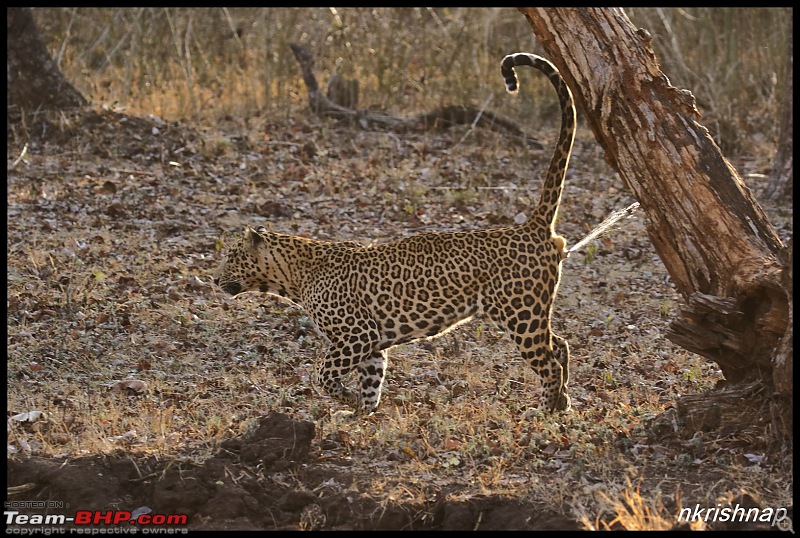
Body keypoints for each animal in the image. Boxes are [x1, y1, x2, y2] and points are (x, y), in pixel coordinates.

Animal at [212, 52, 576, 414]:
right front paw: (360, 410)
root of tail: (533, 226)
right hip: (531, 312)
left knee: (548, 362)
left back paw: (544, 411)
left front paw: (345, 398)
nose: (214, 280)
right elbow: (372, 380)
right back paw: (563, 401)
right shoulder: (372, 342)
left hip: (520, 313)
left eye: (232, 256)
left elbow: (321, 372)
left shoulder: (356, 334)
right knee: (560, 345)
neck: (294, 276)